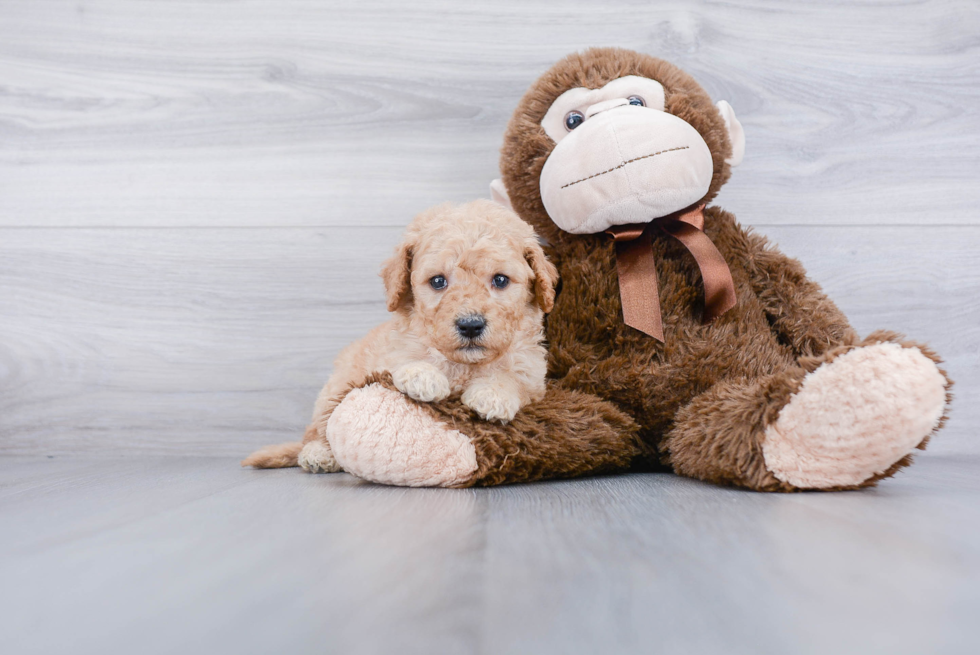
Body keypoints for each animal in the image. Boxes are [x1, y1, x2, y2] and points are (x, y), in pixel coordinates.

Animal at [243, 197, 560, 474]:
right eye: (438, 281)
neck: (464, 366)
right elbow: (406, 360)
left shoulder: (533, 373)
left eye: (500, 280)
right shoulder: (391, 352)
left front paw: (493, 393)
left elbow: (514, 378)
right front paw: (423, 375)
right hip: (334, 389)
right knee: (318, 429)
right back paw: (318, 454)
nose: (470, 325)